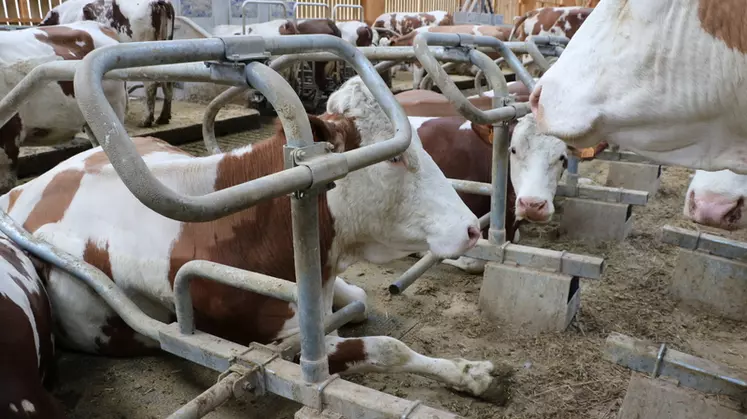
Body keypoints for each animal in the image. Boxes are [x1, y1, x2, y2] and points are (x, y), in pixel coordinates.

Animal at [0, 78, 516, 404]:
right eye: (392, 159)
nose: (471, 228)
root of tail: (26, 185)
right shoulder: (265, 343)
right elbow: (386, 347)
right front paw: (471, 374)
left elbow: (364, 303)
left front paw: (470, 373)